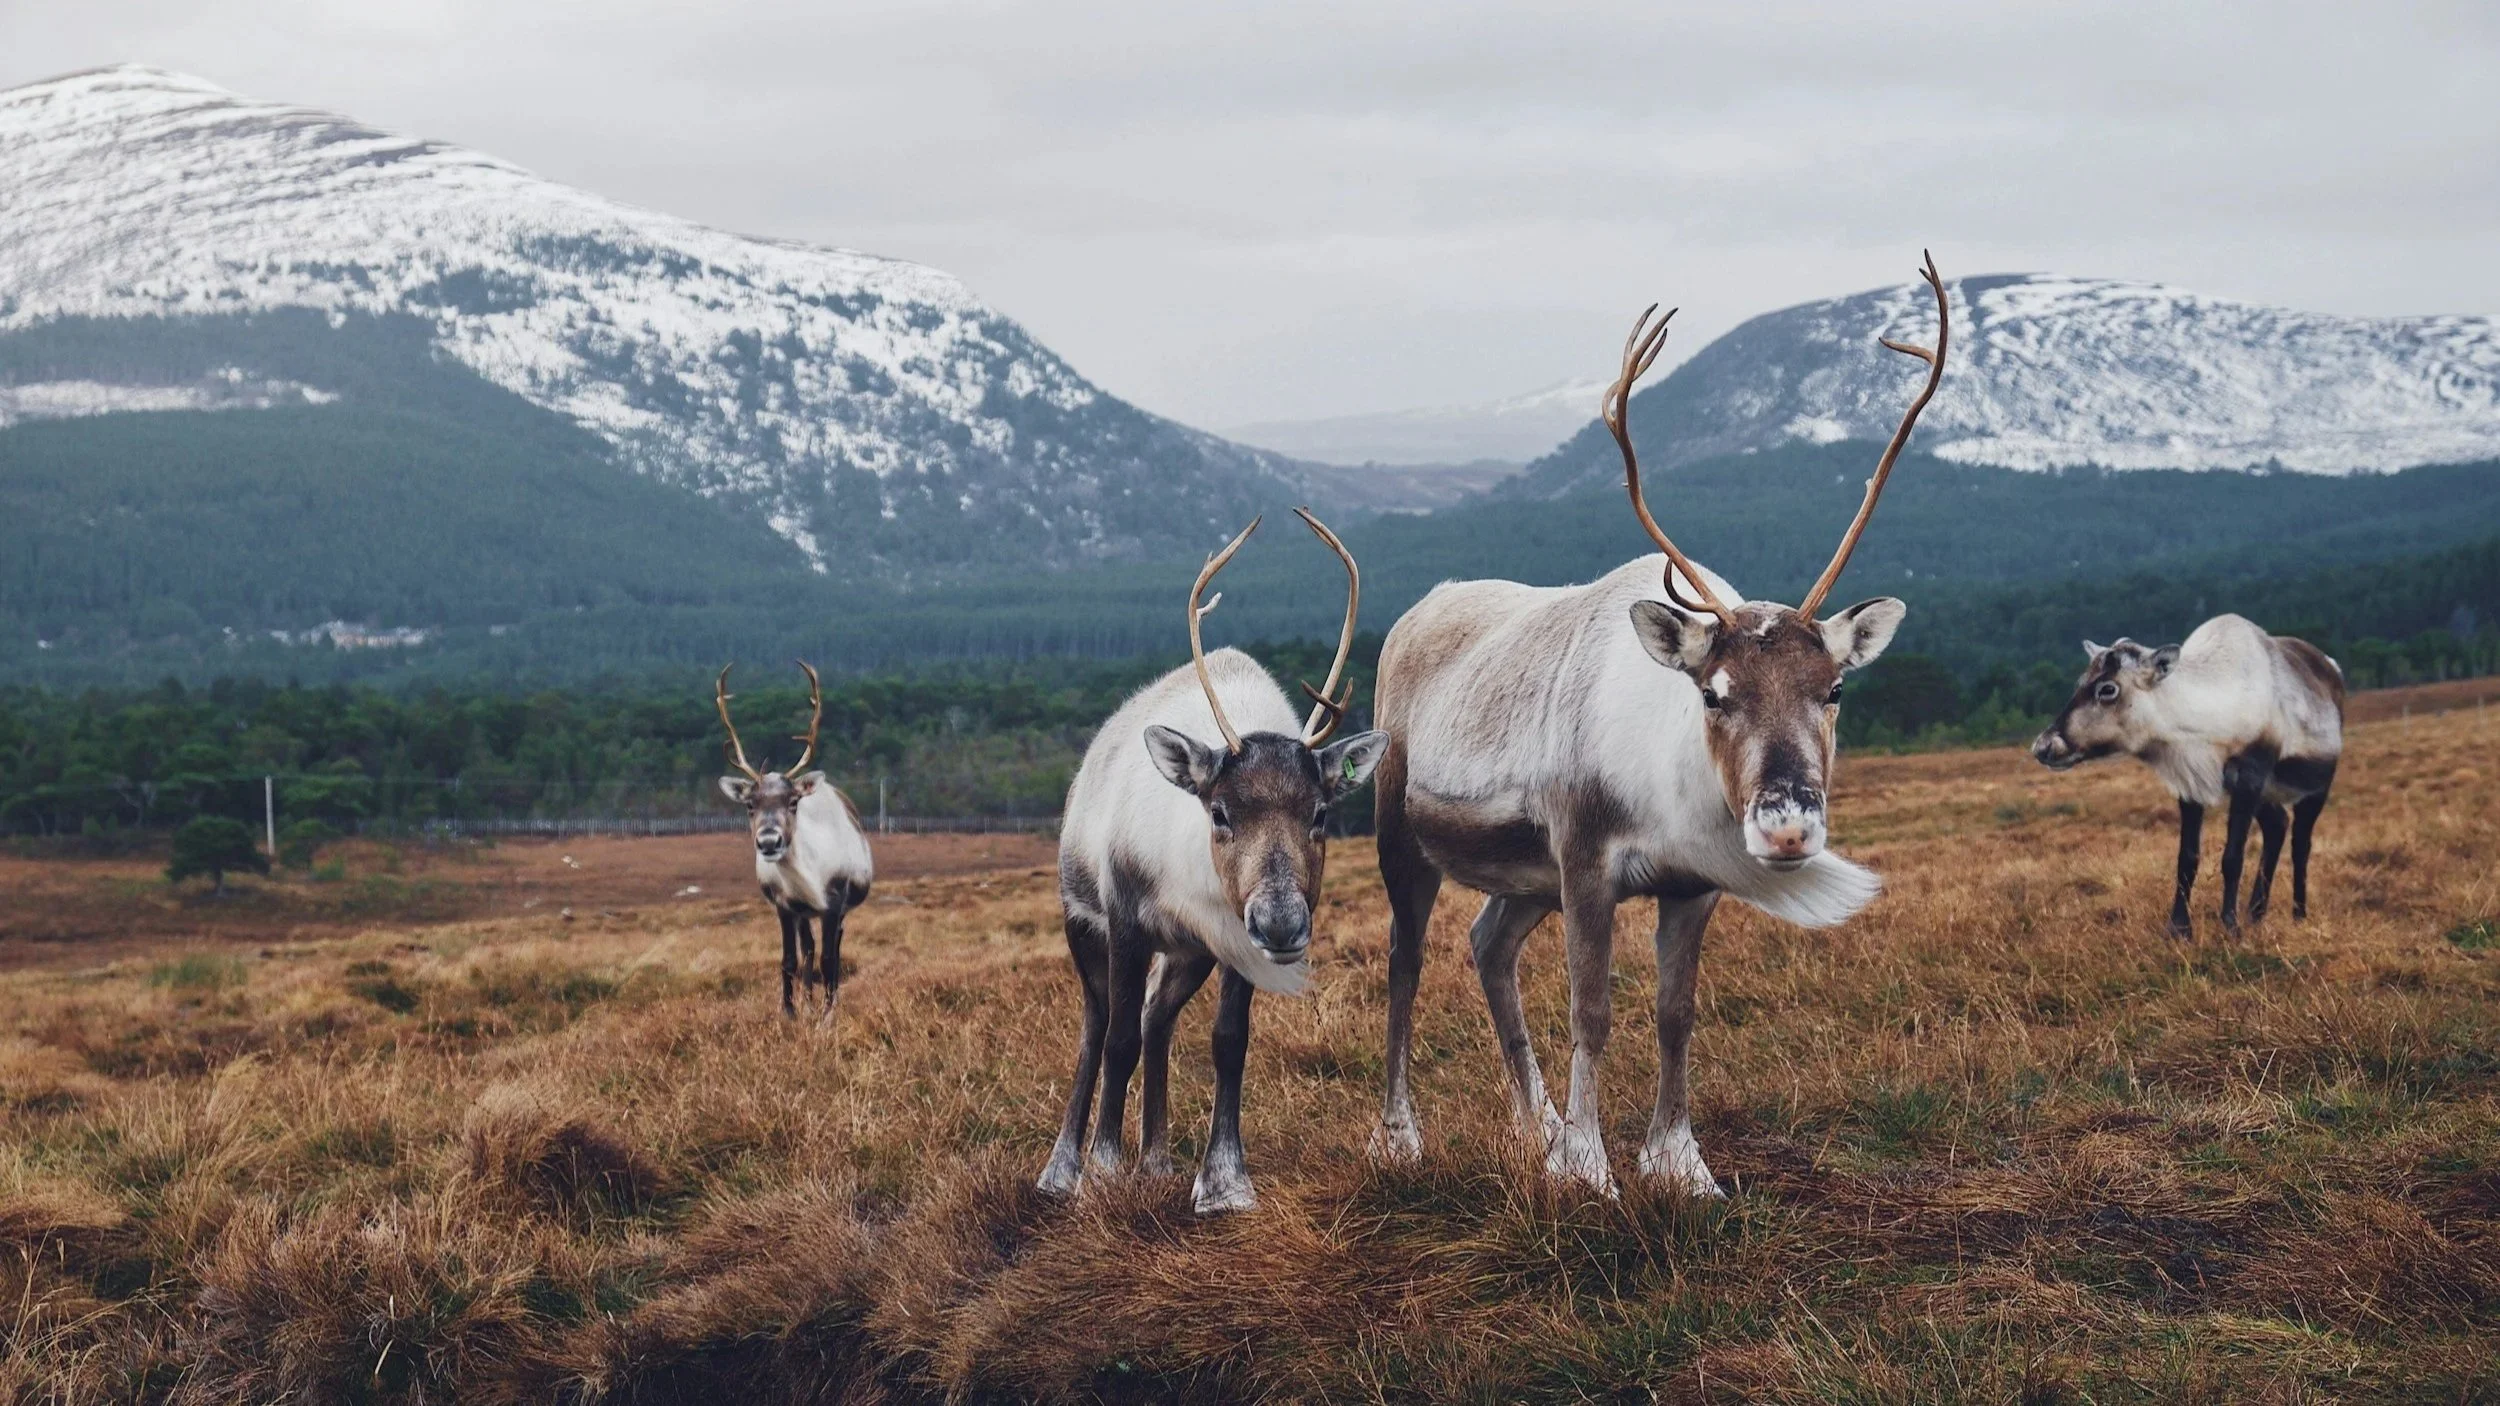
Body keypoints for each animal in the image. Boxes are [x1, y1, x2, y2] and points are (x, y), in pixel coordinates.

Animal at [716, 662, 875, 1020]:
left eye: (792, 802)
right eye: (750, 804)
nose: (769, 841)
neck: (809, 877)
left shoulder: (833, 902)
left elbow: (830, 960)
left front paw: (828, 1014)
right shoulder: (786, 905)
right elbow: (790, 959)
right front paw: (790, 1012)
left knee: (833, 948)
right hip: (804, 915)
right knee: (809, 950)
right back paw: (808, 1000)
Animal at [1038, 508, 1388, 1214]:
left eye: (1320, 812)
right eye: (1220, 811)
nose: (1281, 921)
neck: (1187, 881)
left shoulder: (1228, 941)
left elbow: (1228, 1042)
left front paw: (1224, 1181)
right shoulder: (1125, 922)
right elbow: (1116, 1041)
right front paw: (1103, 1171)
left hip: (1187, 953)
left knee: (1156, 1020)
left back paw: (1157, 1161)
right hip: (1080, 921)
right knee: (1098, 1026)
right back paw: (1063, 1169)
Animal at [1365, 254, 1950, 1197]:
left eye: (1834, 690)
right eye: (1713, 692)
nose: (1787, 824)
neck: (1663, 792)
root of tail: (1418, 612)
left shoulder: (1690, 883)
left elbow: (1676, 1013)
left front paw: (1679, 1163)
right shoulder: (1585, 861)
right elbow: (1592, 1010)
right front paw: (1589, 1169)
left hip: (1524, 877)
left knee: (1487, 945)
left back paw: (1537, 1127)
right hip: (1402, 831)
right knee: (1404, 961)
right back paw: (1402, 1137)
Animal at [2030, 617, 2344, 938]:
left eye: (2107, 689)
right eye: (2080, 683)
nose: (2043, 746)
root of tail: (2331, 665)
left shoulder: (2249, 774)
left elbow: (2233, 856)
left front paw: (2230, 926)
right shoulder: (2191, 783)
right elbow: (2187, 858)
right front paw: (2178, 928)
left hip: (2316, 786)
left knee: (2301, 844)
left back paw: (2298, 914)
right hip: (2267, 794)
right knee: (2277, 824)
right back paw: (2256, 913)